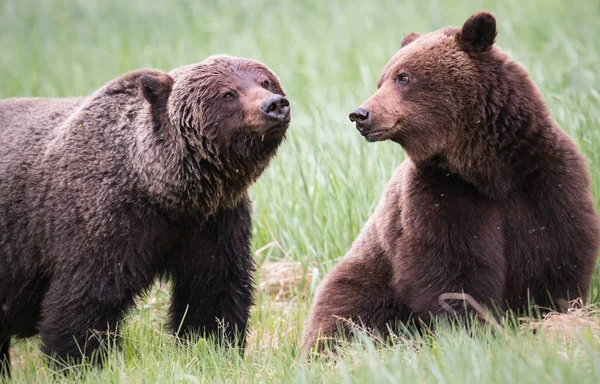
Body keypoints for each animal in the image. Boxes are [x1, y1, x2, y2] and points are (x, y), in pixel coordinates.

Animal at [0, 54, 290, 376]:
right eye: (228, 94)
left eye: (265, 81)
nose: (275, 104)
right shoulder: (101, 222)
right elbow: (84, 301)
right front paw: (80, 363)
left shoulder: (213, 223)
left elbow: (213, 291)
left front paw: (214, 349)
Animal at [302, 11, 600, 354]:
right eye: (382, 78)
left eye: (403, 77)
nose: (360, 114)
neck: (487, 170)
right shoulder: (441, 192)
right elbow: (451, 267)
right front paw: (471, 331)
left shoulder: (544, 178)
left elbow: (558, 250)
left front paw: (554, 318)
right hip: (368, 275)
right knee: (347, 310)